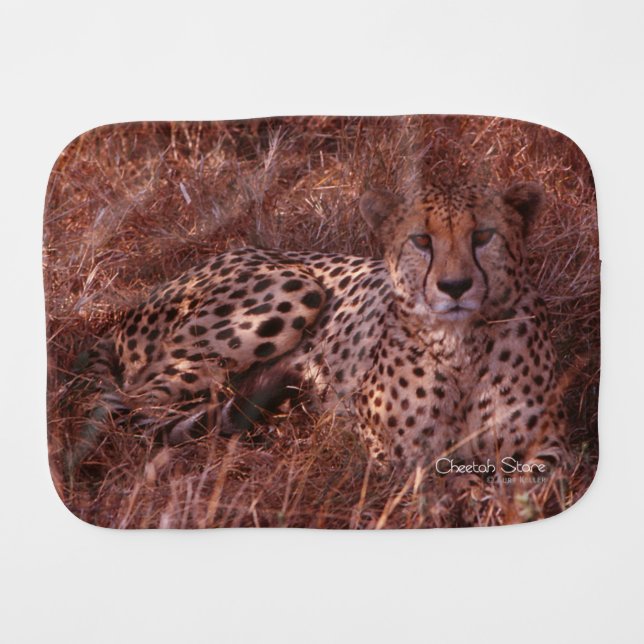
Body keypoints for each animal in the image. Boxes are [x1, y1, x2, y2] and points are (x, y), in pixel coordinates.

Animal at [84, 180, 569, 473]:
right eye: (421, 240)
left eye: (483, 236)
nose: (454, 287)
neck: (462, 346)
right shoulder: (395, 454)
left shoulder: (549, 449)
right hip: (294, 288)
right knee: (135, 406)